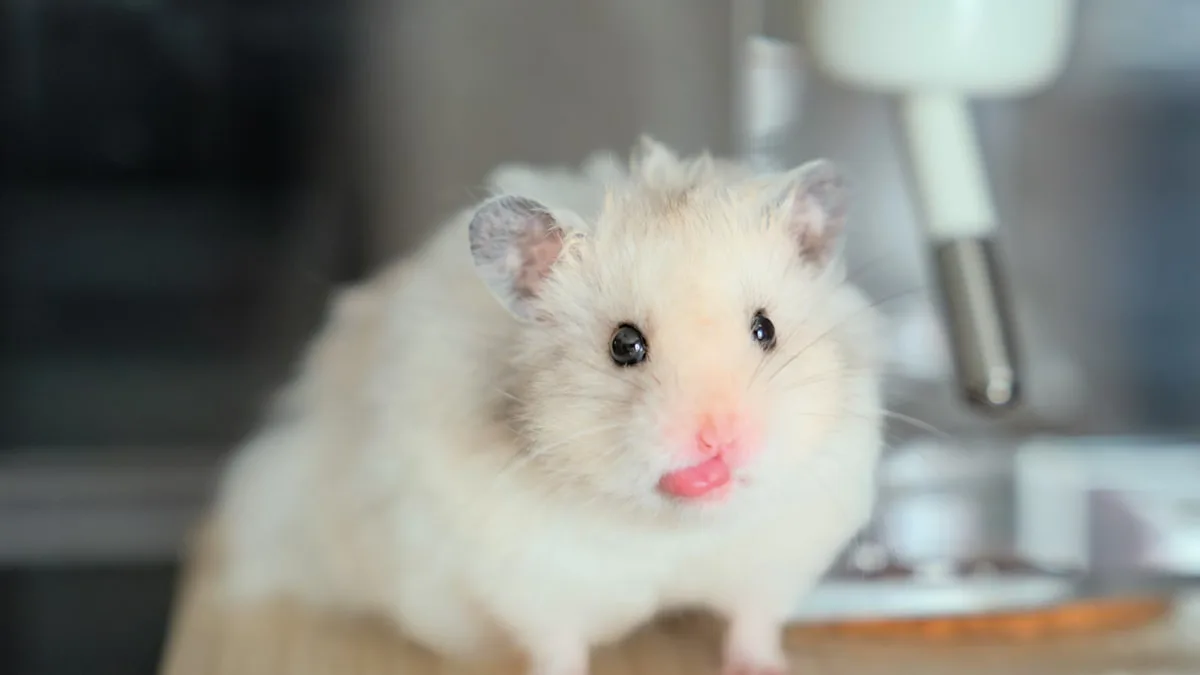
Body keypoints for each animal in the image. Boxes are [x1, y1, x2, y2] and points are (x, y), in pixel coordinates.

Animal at [211, 137, 885, 675]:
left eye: (765, 329)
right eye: (624, 345)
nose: (719, 440)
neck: (666, 531)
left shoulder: (779, 555)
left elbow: (754, 622)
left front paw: (762, 667)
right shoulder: (529, 577)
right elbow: (556, 644)